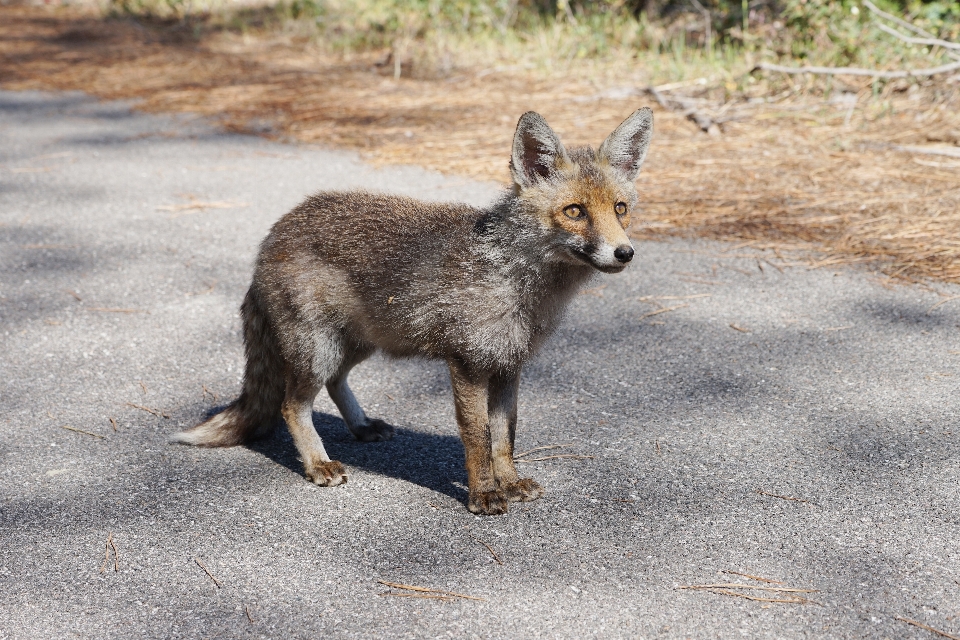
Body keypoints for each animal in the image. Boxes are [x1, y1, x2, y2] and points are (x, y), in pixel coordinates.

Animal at [171, 109, 652, 516]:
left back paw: (362, 426)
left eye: (620, 209)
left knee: (336, 383)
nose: (625, 253)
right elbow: (477, 439)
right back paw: (318, 463)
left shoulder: (508, 365)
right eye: (574, 211)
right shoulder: (467, 364)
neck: (514, 281)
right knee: (292, 406)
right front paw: (484, 495)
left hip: (362, 342)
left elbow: (504, 437)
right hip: (317, 350)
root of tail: (275, 231)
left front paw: (510, 482)